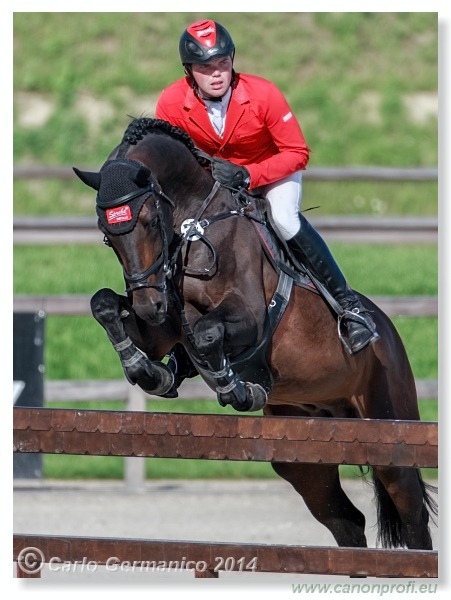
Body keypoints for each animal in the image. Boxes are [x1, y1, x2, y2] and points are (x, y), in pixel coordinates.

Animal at [74, 116, 438, 548]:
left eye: (148, 221)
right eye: (106, 232)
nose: (149, 305)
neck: (192, 224)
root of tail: (388, 331)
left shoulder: (250, 319)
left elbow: (207, 332)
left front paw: (234, 387)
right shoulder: (160, 327)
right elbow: (104, 305)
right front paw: (148, 370)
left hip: (390, 427)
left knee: (412, 514)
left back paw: (354, 323)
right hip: (302, 453)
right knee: (345, 520)